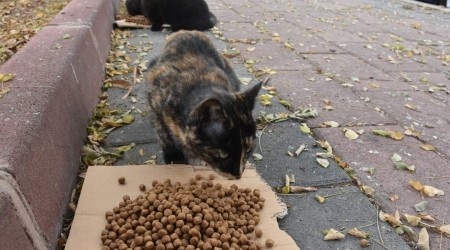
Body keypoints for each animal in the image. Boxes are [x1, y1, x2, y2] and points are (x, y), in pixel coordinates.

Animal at [146, 30, 262, 180]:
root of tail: (187, 31)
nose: (238, 175)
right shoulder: (155, 106)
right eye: (223, 154)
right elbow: (164, 136)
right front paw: (174, 159)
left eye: (248, 149)